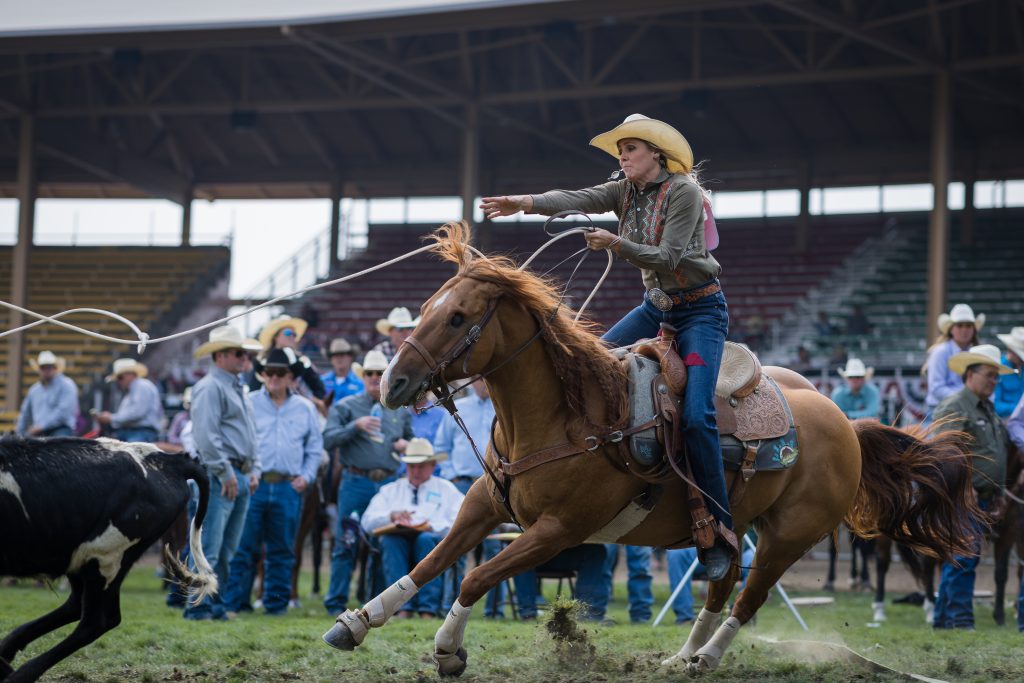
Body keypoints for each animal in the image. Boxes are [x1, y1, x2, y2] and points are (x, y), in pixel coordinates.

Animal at [0, 438, 216, 683]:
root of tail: (168, 460)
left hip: (105, 556)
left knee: (97, 620)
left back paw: (18, 673)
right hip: (82, 558)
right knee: (78, 605)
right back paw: (8, 650)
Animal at [325, 225, 983, 679]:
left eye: (458, 316)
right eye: (427, 307)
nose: (392, 384)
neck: (567, 415)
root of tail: (845, 421)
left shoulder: (558, 530)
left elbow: (476, 574)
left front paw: (447, 649)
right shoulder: (487, 505)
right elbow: (434, 561)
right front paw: (357, 621)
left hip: (788, 535)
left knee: (748, 597)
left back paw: (706, 660)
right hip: (734, 525)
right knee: (721, 583)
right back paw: (681, 658)